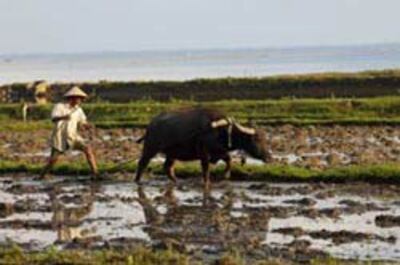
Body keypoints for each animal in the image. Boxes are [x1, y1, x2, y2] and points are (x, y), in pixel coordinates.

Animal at [135, 107, 272, 186]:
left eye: (265, 138)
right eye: (257, 139)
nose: (269, 158)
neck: (222, 130)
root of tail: (151, 124)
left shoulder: (219, 151)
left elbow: (229, 159)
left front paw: (226, 175)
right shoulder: (204, 153)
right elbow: (206, 169)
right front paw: (207, 182)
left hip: (172, 153)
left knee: (167, 167)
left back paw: (176, 181)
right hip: (150, 148)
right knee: (142, 163)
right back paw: (137, 181)